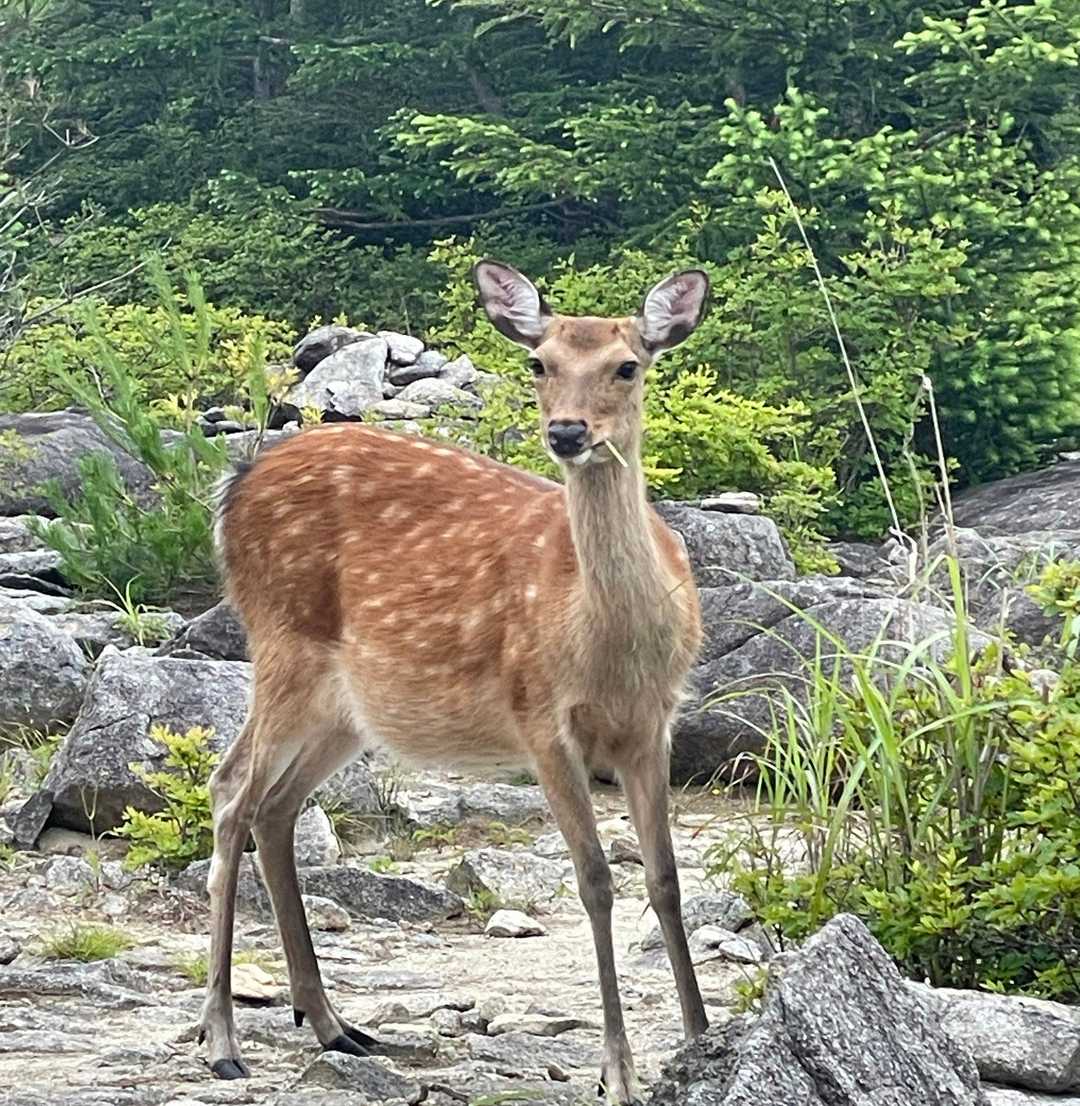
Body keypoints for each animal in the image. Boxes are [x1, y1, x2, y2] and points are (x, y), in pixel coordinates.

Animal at [200, 260, 711, 1104]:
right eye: (539, 364)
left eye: (627, 366)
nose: (567, 432)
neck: (608, 645)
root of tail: (234, 483)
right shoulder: (539, 716)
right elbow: (596, 878)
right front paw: (617, 1068)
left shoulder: (654, 723)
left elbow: (667, 878)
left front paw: (702, 1038)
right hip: (281, 641)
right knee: (230, 790)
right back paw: (220, 1038)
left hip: (349, 706)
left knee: (275, 807)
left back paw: (333, 1023)